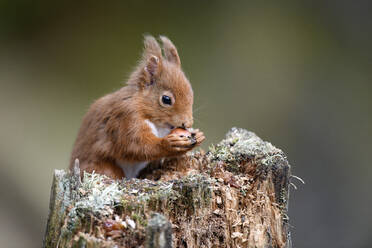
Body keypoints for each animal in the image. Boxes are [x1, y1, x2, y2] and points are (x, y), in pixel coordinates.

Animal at [69, 35, 203, 178]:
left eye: (191, 93)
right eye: (166, 99)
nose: (187, 123)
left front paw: (198, 134)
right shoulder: (126, 118)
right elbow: (136, 146)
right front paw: (168, 144)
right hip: (102, 167)